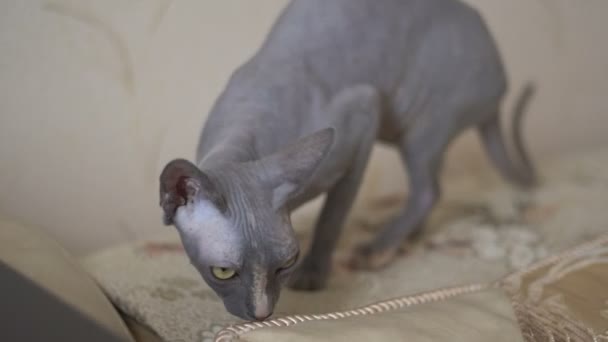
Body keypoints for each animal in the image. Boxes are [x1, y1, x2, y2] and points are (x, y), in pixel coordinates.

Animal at [158, 0, 536, 320]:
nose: (262, 314)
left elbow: (333, 216)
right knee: (431, 183)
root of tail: (499, 85)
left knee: (428, 188)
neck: (247, 132)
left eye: (287, 263)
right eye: (223, 272)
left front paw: (314, 274)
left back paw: (380, 247)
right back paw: (408, 235)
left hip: (423, 120)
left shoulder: (364, 113)